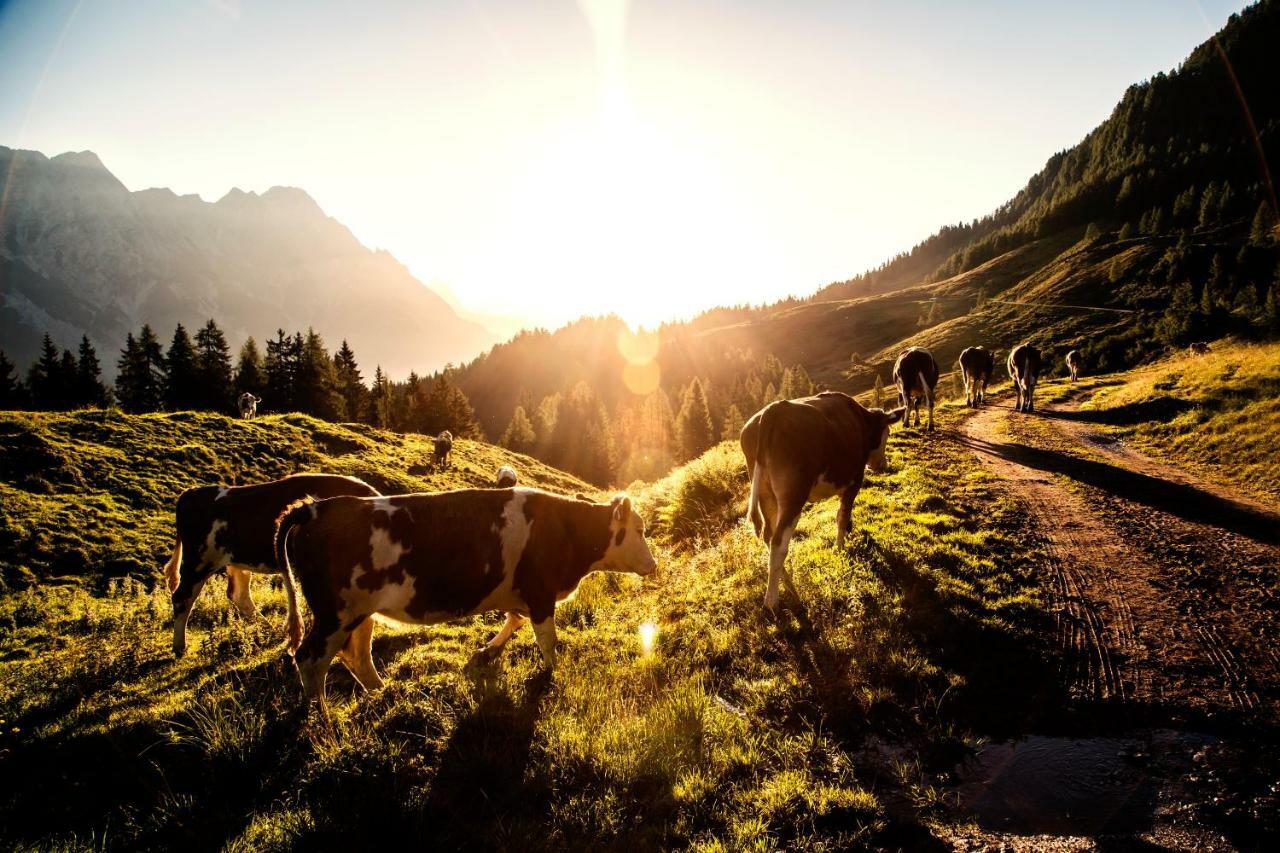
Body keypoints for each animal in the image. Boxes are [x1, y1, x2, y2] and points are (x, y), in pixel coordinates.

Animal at [163, 468, 378, 653]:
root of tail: (191, 493)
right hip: (199, 560)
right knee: (182, 597)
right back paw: (180, 647)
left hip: (236, 560)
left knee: (238, 594)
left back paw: (268, 628)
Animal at [279, 489, 660, 722]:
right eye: (640, 530)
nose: (654, 564)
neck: (567, 528)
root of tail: (315, 507)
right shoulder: (540, 592)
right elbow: (548, 641)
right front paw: (553, 674)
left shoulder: (521, 593)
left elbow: (514, 620)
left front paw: (487, 652)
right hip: (335, 615)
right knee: (310, 659)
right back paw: (321, 719)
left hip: (359, 613)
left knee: (356, 654)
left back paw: (383, 694)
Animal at [742, 391, 911, 612]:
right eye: (888, 433)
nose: (883, 465)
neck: (861, 420)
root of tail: (773, 410)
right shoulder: (855, 479)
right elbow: (842, 515)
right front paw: (839, 547)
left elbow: (842, 513)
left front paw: (848, 530)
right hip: (793, 495)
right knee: (778, 543)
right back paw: (773, 601)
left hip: (765, 493)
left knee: (768, 538)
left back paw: (788, 585)